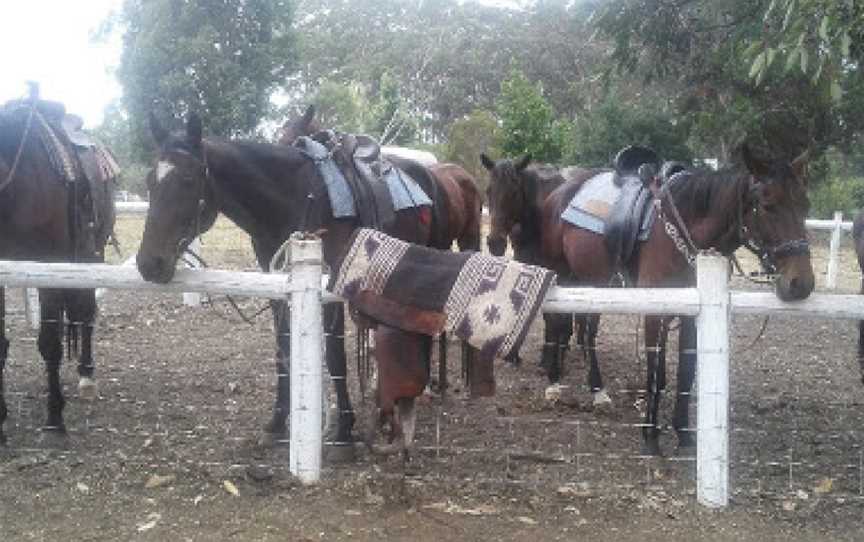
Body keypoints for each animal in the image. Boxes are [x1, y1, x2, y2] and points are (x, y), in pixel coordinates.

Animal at [0, 98, 115, 446]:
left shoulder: (46, 264)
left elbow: (50, 341)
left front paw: (54, 417)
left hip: (92, 254)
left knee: (86, 313)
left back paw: (86, 375)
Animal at [135, 113, 452, 460]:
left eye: (189, 180)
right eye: (150, 181)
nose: (148, 263)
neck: (292, 198)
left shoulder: (331, 290)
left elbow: (335, 356)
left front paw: (344, 432)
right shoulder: (276, 284)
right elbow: (283, 349)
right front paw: (277, 422)